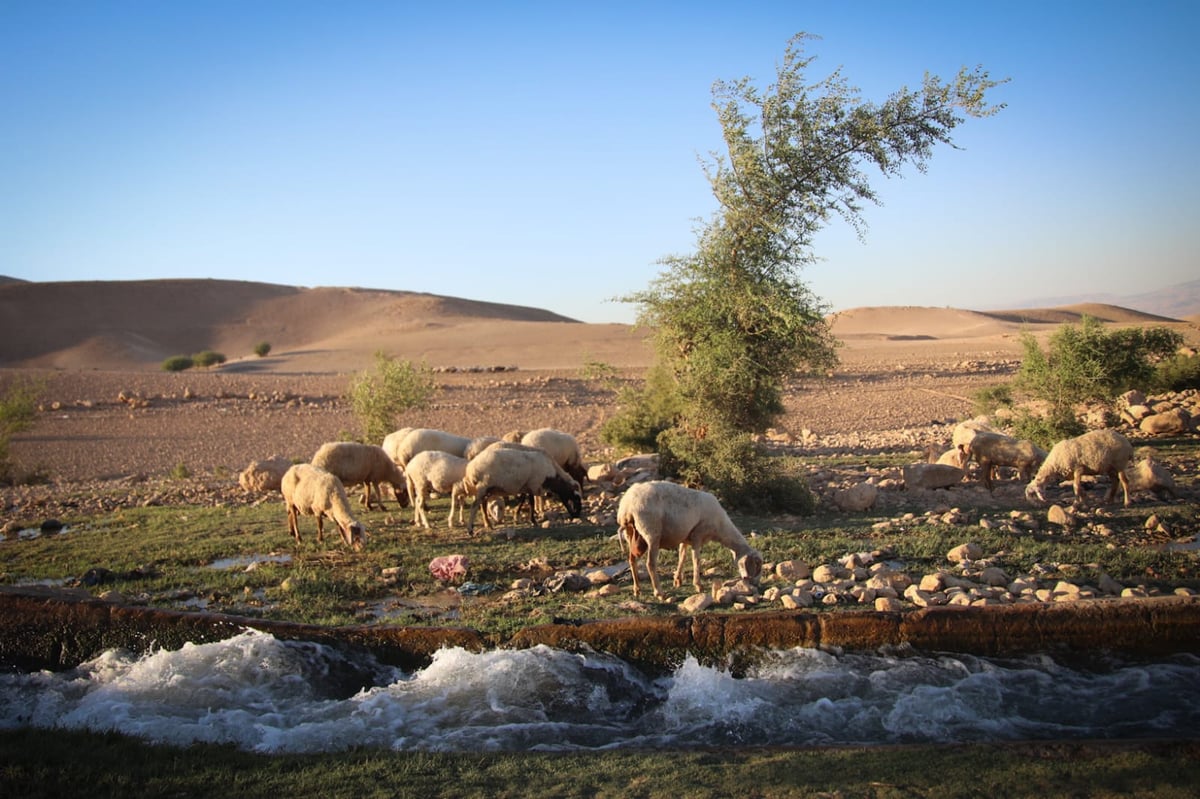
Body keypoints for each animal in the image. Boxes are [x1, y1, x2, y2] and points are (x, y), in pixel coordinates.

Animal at [614, 479, 763, 597]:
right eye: (756, 566)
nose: (755, 584)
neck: (720, 528)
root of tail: (627, 506)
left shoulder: (685, 537)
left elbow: (682, 556)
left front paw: (677, 580)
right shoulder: (698, 535)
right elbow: (696, 560)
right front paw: (698, 585)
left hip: (632, 534)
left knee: (632, 559)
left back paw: (637, 589)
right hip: (651, 533)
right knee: (650, 563)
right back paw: (659, 592)